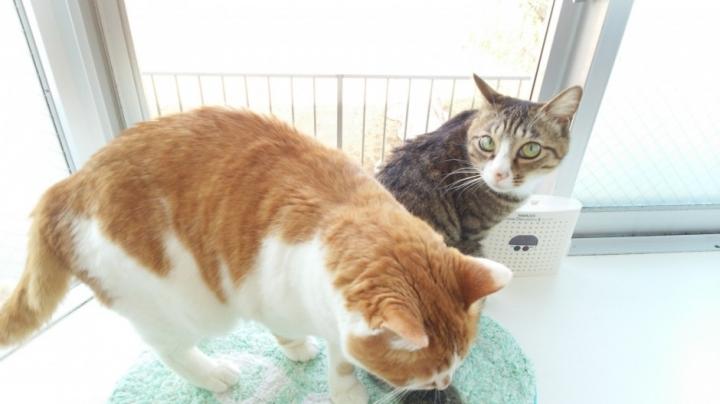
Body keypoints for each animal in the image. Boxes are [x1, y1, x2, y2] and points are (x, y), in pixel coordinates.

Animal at [0, 107, 512, 403]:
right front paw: (309, 357)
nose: (444, 385)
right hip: (182, 304)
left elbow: (340, 356)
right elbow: (295, 335)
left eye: (455, 367)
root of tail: (70, 183)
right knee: (166, 347)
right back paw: (212, 374)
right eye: (430, 375)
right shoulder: (262, 291)